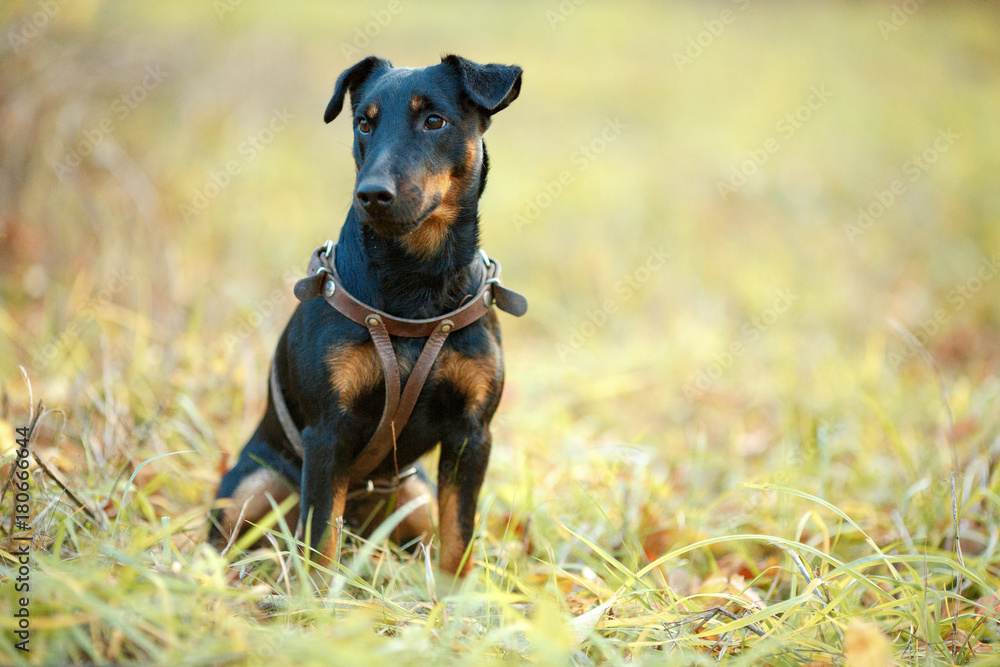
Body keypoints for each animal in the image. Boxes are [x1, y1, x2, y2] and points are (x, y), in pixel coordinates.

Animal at [208, 54, 528, 576]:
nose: (372, 194)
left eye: (434, 120)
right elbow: (320, 544)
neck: (416, 281)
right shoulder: (328, 435)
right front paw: (317, 597)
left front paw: (456, 597)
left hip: (415, 496)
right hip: (253, 487)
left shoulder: (472, 436)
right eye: (363, 123)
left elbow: (457, 541)